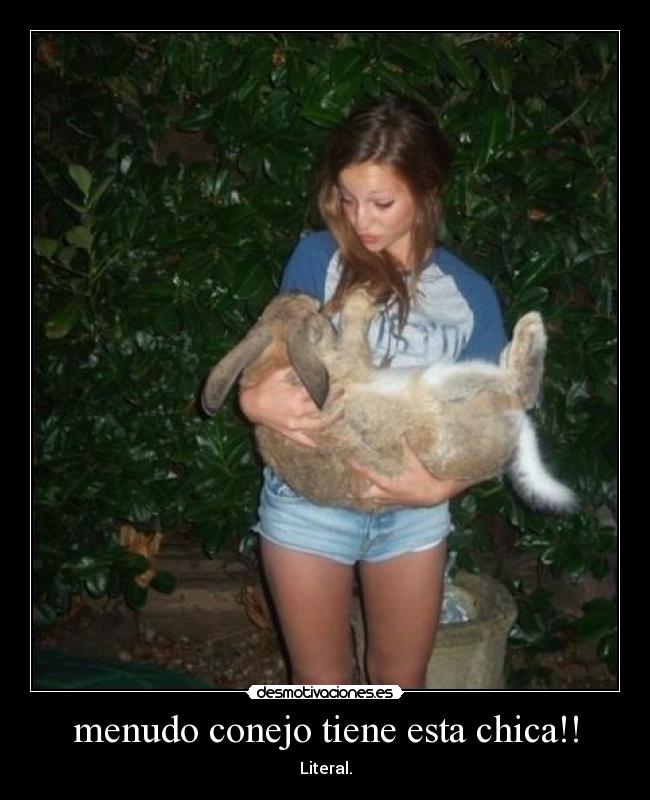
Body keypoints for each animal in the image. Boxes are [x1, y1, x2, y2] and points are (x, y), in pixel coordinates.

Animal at [200, 288, 576, 513]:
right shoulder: (350, 361)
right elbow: (353, 335)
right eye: (313, 313)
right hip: (449, 391)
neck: (279, 355)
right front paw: (360, 301)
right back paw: (532, 326)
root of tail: (512, 438)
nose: (301, 293)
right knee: (522, 391)